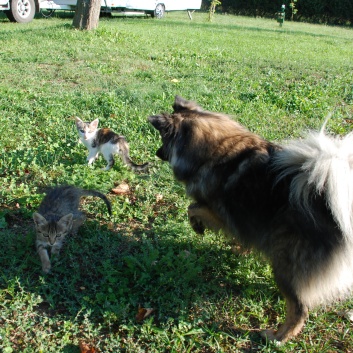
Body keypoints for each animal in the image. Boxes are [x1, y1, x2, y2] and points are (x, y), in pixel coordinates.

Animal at [149, 95, 353, 342]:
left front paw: (197, 226)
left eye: (163, 139)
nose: (157, 153)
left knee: (299, 308)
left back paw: (278, 336)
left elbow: (193, 208)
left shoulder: (217, 211)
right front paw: (241, 250)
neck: (215, 151)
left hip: (285, 264)